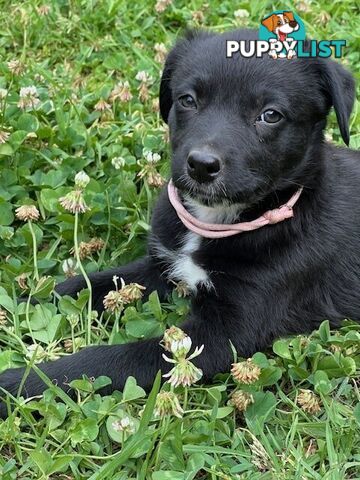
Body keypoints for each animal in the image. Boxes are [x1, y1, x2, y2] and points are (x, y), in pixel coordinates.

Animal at [0, 29, 358, 412]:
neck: (217, 221)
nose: (201, 165)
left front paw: (17, 383)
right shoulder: (161, 265)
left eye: (270, 115)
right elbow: (79, 286)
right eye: (188, 100)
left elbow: (107, 360)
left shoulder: (227, 330)